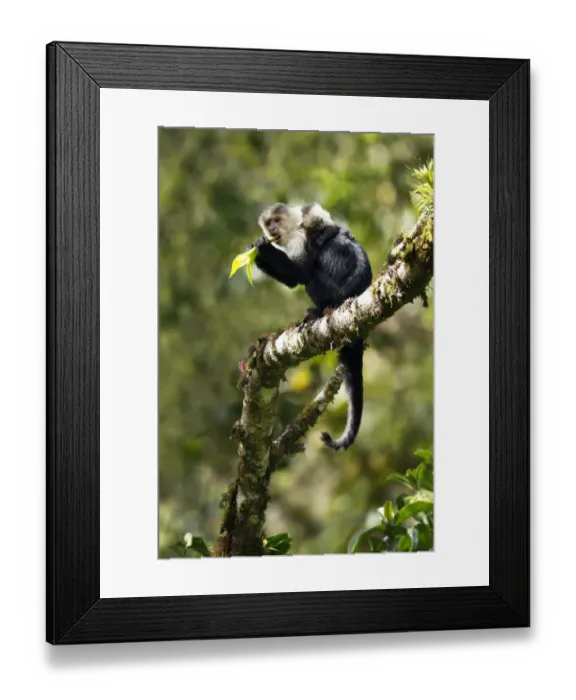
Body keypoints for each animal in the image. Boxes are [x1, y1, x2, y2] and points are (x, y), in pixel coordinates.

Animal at [250, 202, 373, 451]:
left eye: (276, 220)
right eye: (269, 223)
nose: (272, 229)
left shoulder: (300, 237)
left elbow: (300, 273)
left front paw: (261, 248)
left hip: (334, 293)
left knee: (311, 276)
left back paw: (318, 311)